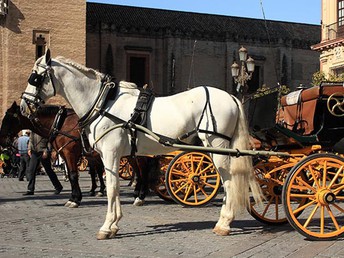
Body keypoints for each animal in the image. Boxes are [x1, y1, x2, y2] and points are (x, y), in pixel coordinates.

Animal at [20, 49, 262, 239]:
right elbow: (114, 186)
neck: (103, 103)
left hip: (217, 147)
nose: (24, 104)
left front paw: (106, 226)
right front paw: (114, 224)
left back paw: (224, 223)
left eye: (35, 77)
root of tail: (231, 97)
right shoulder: (112, 156)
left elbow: (111, 188)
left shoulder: (109, 153)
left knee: (229, 182)